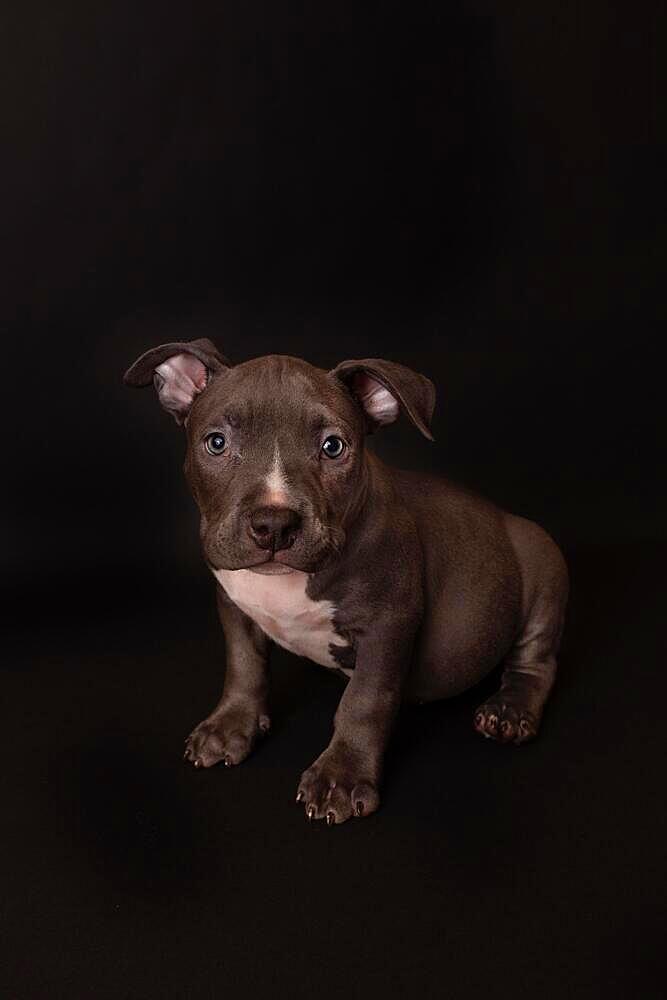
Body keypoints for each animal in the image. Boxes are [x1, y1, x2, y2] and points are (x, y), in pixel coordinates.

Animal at [124, 340, 568, 824]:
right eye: (217, 443)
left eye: (333, 447)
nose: (274, 524)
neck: (288, 581)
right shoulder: (233, 603)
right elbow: (243, 665)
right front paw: (230, 726)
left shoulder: (387, 625)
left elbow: (365, 701)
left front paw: (342, 776)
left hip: (544, 563)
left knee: (538, 661)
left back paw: (510, 710)